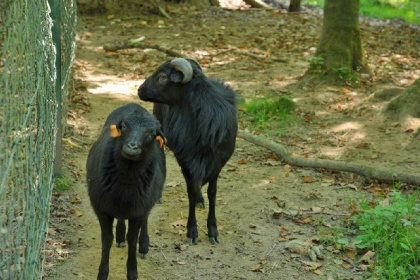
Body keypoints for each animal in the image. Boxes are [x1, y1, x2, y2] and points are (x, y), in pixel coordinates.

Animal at [86, 103, 166, 280]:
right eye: (123, 126)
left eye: (152, 134)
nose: (132, 147)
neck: (126, 179)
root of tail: (133, 104)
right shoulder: (102, 209)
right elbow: (106, 240)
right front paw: (102, 273)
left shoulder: (138, 210)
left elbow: (133, 239)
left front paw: (132, 271)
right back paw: (120, 235)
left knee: (145, 220)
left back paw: (143, 245)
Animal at [137, 58, 236, 244]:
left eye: (163, 77)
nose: (140, 90)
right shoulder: (185, 160)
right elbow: (190, 193)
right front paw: (192, 232)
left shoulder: (217, 163)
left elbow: (212, 194)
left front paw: (213, 231)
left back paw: (200, 199)